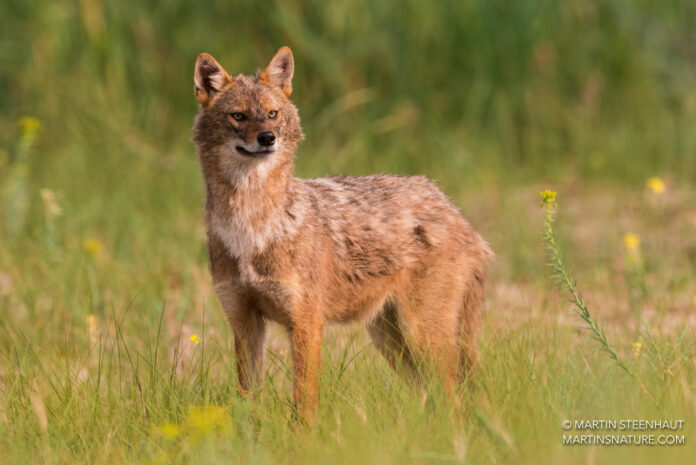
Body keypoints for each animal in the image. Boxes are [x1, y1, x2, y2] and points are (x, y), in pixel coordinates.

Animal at [192, 46, 493, 420]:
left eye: (273, 114)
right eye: (238, 116)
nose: (267, 138)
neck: (251, 229)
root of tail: (454, 210)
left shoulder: (306, 322)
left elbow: (303, 401)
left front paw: (302, 435)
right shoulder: (245, 322)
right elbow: (248, 399)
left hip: (422, 335)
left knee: (453, 398)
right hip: (391, 340)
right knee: (433, 396)